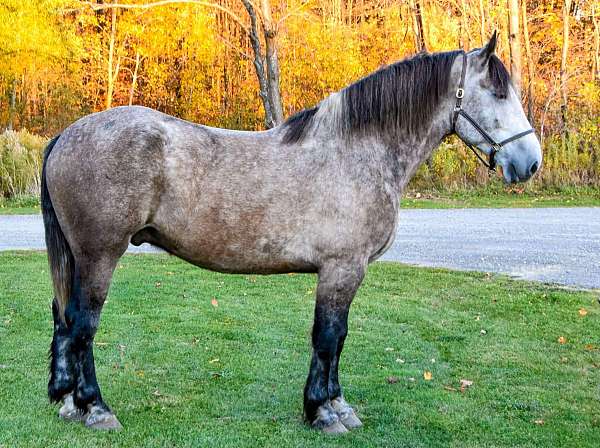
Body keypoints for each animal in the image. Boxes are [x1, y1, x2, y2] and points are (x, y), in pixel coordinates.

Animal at [42, 35, 540, 434]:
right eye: (497, 92)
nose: (530, 162)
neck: (357, 152)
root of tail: (66, 134)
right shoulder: (341, 269)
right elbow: (328, 336)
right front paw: (322, 412)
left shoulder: (346, 273)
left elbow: (339, 337)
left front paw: (339, 405)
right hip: (100, 256)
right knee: (83, 326)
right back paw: (96, 408)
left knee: (64, 320)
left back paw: (68, 402)